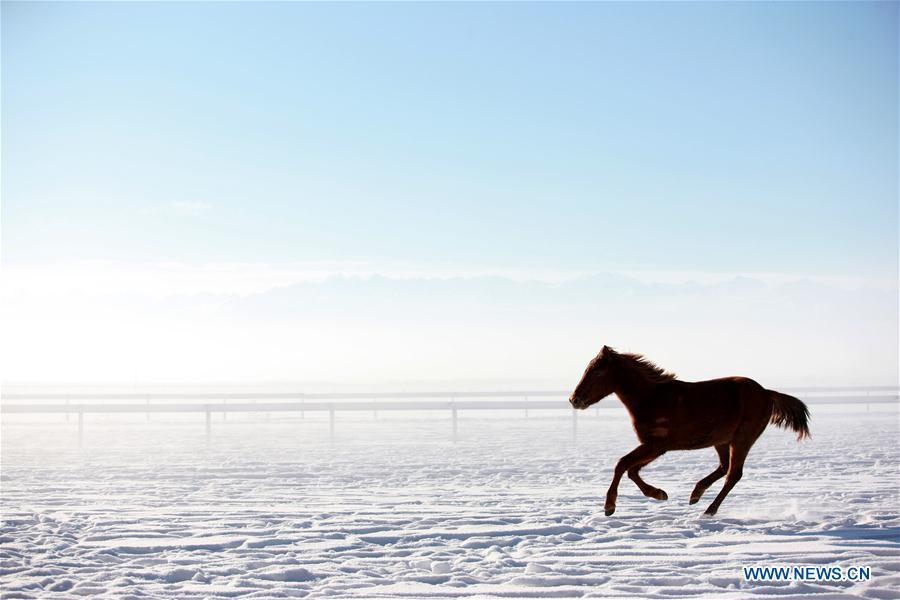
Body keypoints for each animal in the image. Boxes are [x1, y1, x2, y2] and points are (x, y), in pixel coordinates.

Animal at [572, 346, 812, 516]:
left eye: (597, 372)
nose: (574, 399)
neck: (652, 398)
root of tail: (767, 393)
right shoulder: (654, 447)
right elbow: (632, 470)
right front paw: (659, 494)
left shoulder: (656, 445)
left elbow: (622, 465)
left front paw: (609, 506)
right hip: (721, 440)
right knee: (724, 467)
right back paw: (695, 494)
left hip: (742, 439)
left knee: (733, 474)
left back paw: (708, 511)